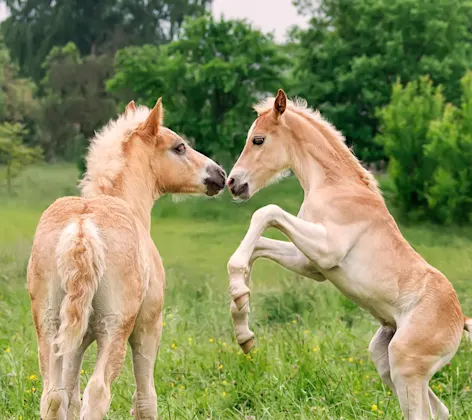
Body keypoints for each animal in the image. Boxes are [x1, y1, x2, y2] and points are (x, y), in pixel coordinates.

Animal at [26, 99, 226, 420]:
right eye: (179, 147)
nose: (219, 174)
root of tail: (82, 228)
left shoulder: (75, 341)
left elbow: (69, 396)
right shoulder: (148, 326)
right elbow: (145, 398)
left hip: (49, 326)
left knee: (53, 396)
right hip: (115, 328)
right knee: (97, 392)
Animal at [228, 89, 468, 420]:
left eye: (258, 140)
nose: (232, 183)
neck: (335, 185)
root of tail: (461, 319)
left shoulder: (327, 249)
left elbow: (266, 213)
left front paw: (240, 300)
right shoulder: (312, 264)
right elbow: (259, 245)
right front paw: (242, 322)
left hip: (406, 366)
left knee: (422, 414)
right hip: (386, 359)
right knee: (440, 409)